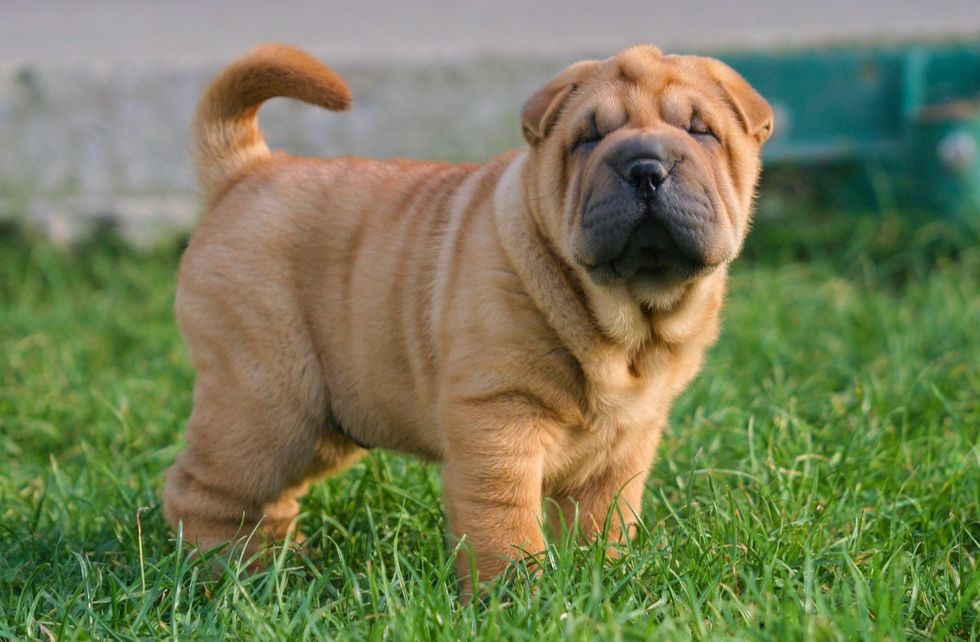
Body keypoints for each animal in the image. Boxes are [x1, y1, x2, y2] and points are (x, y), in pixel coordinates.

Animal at [163, 41, 772, 592]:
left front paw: (604, 579)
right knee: (204, 489)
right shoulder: (497, 413)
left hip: (325, 421)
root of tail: (248, 171)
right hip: (268, 402)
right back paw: (232, 574)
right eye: (589, 139)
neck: (626, 323)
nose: (645, 166)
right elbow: (503, 518)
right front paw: (519, 596)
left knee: (271, 498)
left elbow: (606, 519)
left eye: (701, 132)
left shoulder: (627, 438)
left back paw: (285, 561)